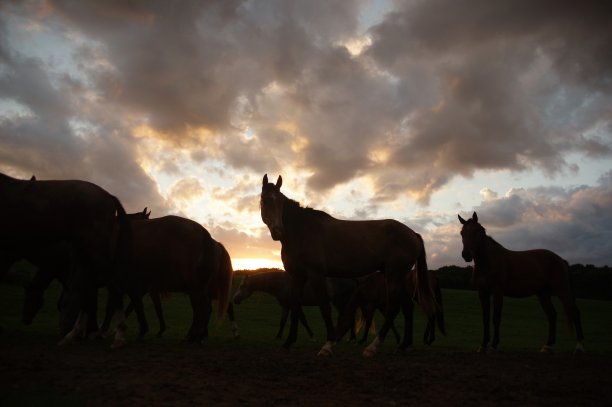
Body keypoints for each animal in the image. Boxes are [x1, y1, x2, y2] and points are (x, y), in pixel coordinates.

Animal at [0, 171, 130, 346]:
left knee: (112, 287)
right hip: (85, 257)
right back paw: (73, 335)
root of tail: (108, 196)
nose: (25, 320)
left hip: (96, 256)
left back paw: (118, 336)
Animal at [258, 175, 436, 356]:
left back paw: (372, 347)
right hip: (397, 277)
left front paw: (328, 345)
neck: (302, 232)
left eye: (280, 201)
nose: (278, 231)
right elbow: (295, 307)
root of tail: (413, 233)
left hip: (394, 276)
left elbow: (324, 307)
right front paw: (287, 343)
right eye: (265, 200)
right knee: (407, 308)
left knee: (393, 308)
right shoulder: (296, 276)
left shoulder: (316, 275)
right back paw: (403, 345)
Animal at [460, 212, 584, 352]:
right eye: (462, 233)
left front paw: (494, 345)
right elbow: (485, 319)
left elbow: (496, 318)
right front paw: (483, 345)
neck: (489, 261)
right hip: (543, 294)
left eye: (476, 232)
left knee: (574, 312)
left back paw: (579, 346)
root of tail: (561, 259)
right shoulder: (482, 293)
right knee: (552, 315)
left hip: (562, 291)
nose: (466, 255)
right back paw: (547, 345)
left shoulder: (498, 292)